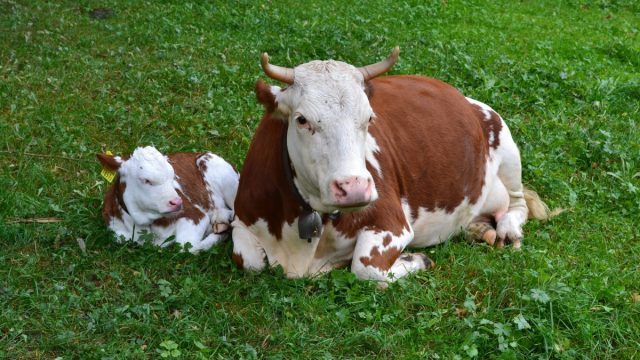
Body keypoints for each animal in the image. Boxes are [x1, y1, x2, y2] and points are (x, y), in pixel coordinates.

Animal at [97, 146, 240, 253]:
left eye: (172, 176)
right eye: (146, 180)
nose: (177, 202)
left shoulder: (196, 215)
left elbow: (185, 246)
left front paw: (220, 234)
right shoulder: (116, 232)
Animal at [231, 47, 552, 282]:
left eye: (369, 118)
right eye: (301, 120)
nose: (354, 188)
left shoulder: (392, 223)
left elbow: (366, 268)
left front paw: (417, 259)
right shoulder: (242, 217)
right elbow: (249, 260)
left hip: (506, 145)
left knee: (518, 203)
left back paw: (507, 229)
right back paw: (478, 229)